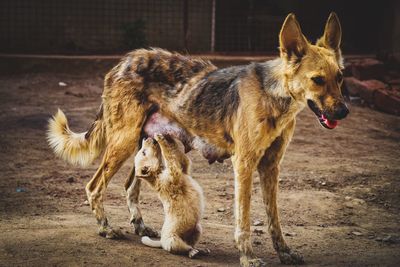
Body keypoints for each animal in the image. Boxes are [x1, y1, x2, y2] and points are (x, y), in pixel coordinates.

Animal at [46, 13, 346, 267]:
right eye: (318, 80)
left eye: (340, 77)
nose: (344, 111)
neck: (273, 95)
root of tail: (123, 61)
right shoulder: (244, 165)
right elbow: (244, 222)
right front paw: (248, 257)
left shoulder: (271, 167)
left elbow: (275, 221)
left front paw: (284, 253)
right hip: (123, 143)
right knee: (94, 186)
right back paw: (106, 228)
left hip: (143, 146)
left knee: (130, 187)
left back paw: (140, 226)